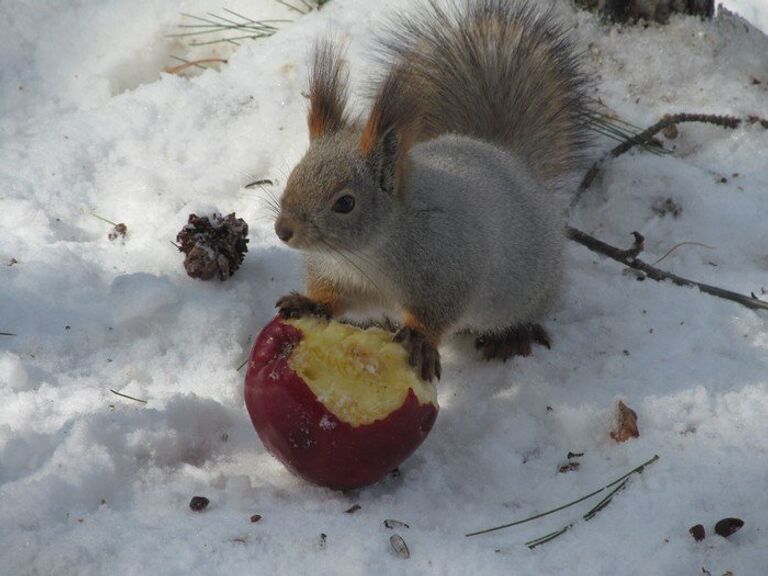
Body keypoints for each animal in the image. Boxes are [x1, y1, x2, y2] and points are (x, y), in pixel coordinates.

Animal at [272, 1, 592, 382]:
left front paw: (419, 340)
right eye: (294, 174)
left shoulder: (450, 268)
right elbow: (332, 296)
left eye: (345, 203)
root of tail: (509, 157)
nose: (283, 230)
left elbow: (437, 313)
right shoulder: (337, 274)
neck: (369, 253)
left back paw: (510, 336)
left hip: (529, 288)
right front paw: (310, 304)